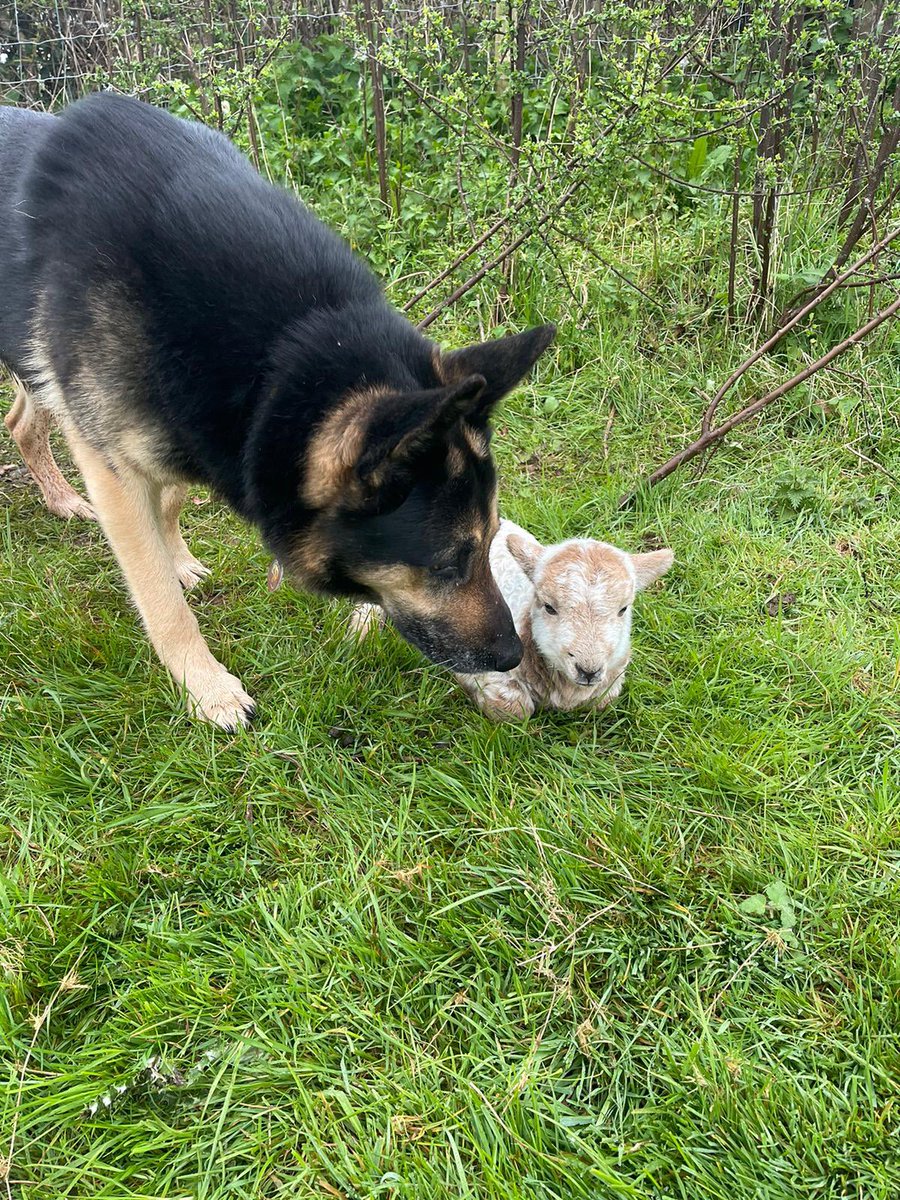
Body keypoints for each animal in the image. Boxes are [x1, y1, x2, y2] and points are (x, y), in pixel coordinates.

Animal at [0, 93, 556, 724]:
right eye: (444, 564)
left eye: (489, 543)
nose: (513, 656)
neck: (280, 344)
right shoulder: (112, 462)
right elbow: (159, 596)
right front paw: (207, 688)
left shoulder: (193, 427)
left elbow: (170, 498)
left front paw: (178, 558)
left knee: (21, 422)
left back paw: (61, 498)